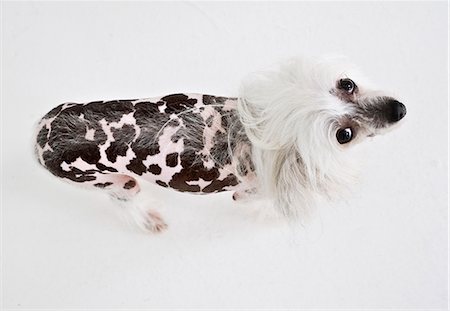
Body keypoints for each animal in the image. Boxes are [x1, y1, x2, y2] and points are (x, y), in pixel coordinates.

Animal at [35, 56, 406, 233]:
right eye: (344, 135)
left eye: (348, 83)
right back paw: (149, 219)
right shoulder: (249, 193)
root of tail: (41, 134)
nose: (399, 110)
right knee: (123, 198)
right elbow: (259, 203)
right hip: (115, 181)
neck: (261, 126)